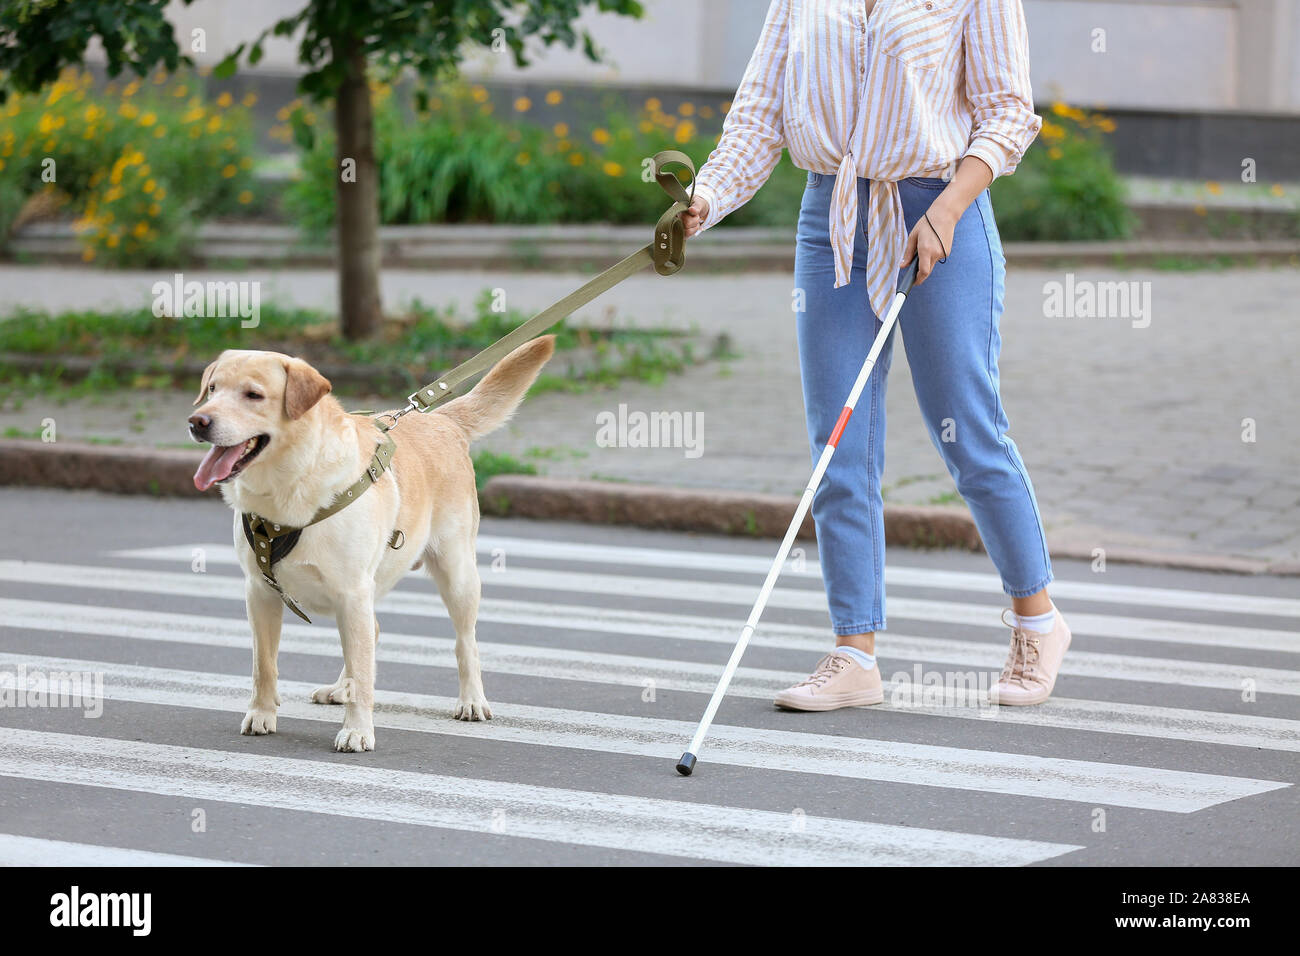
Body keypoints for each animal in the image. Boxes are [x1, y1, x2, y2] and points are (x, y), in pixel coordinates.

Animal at [188, 340, 553, 749]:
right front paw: (262, 714)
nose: (197, 422)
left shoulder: (352, 591)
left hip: (456, 574)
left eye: (253, 395)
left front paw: (357, 730)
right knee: (370, 634)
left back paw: (472, 699)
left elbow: (365, 675)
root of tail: (442, 420)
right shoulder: (260, 591)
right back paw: (338, 688)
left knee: (465, 642)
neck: (288, 487)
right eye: (213, 389)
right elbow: (264, 665)